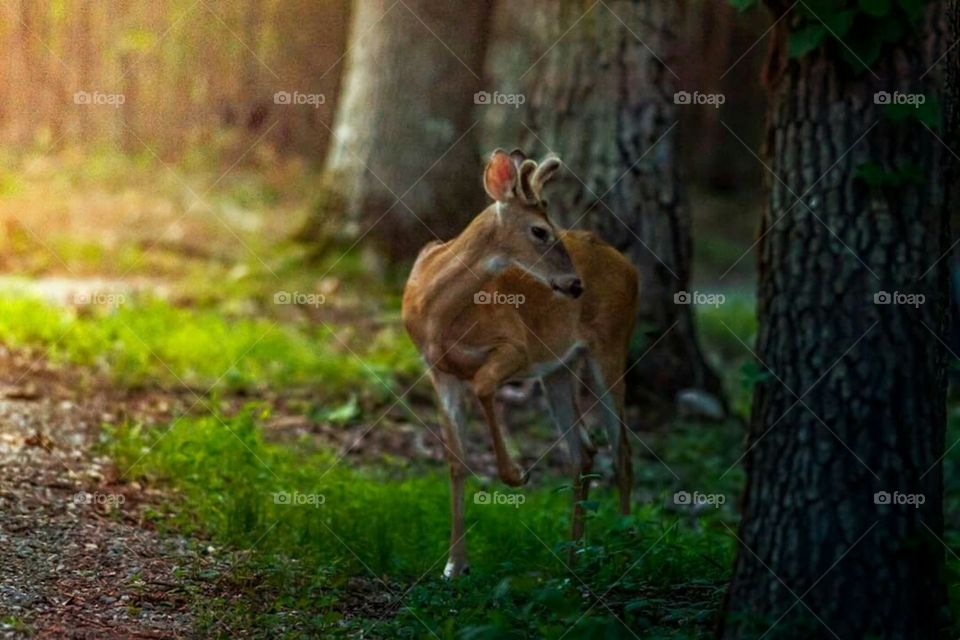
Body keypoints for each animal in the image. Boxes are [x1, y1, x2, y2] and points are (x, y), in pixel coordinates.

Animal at [402, 148, 640, 576]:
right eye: (540, 231)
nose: (575, 284)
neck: (436, 313)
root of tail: (630, 267)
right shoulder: (438, 371)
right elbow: (455, 462)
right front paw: (455, 565)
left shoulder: (516, 346)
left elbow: (483, 385)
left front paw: (515, 474)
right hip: (560, 368)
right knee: (584, 449)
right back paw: (572, 556)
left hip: (611, 345)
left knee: (622, 450)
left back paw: (626, 547)